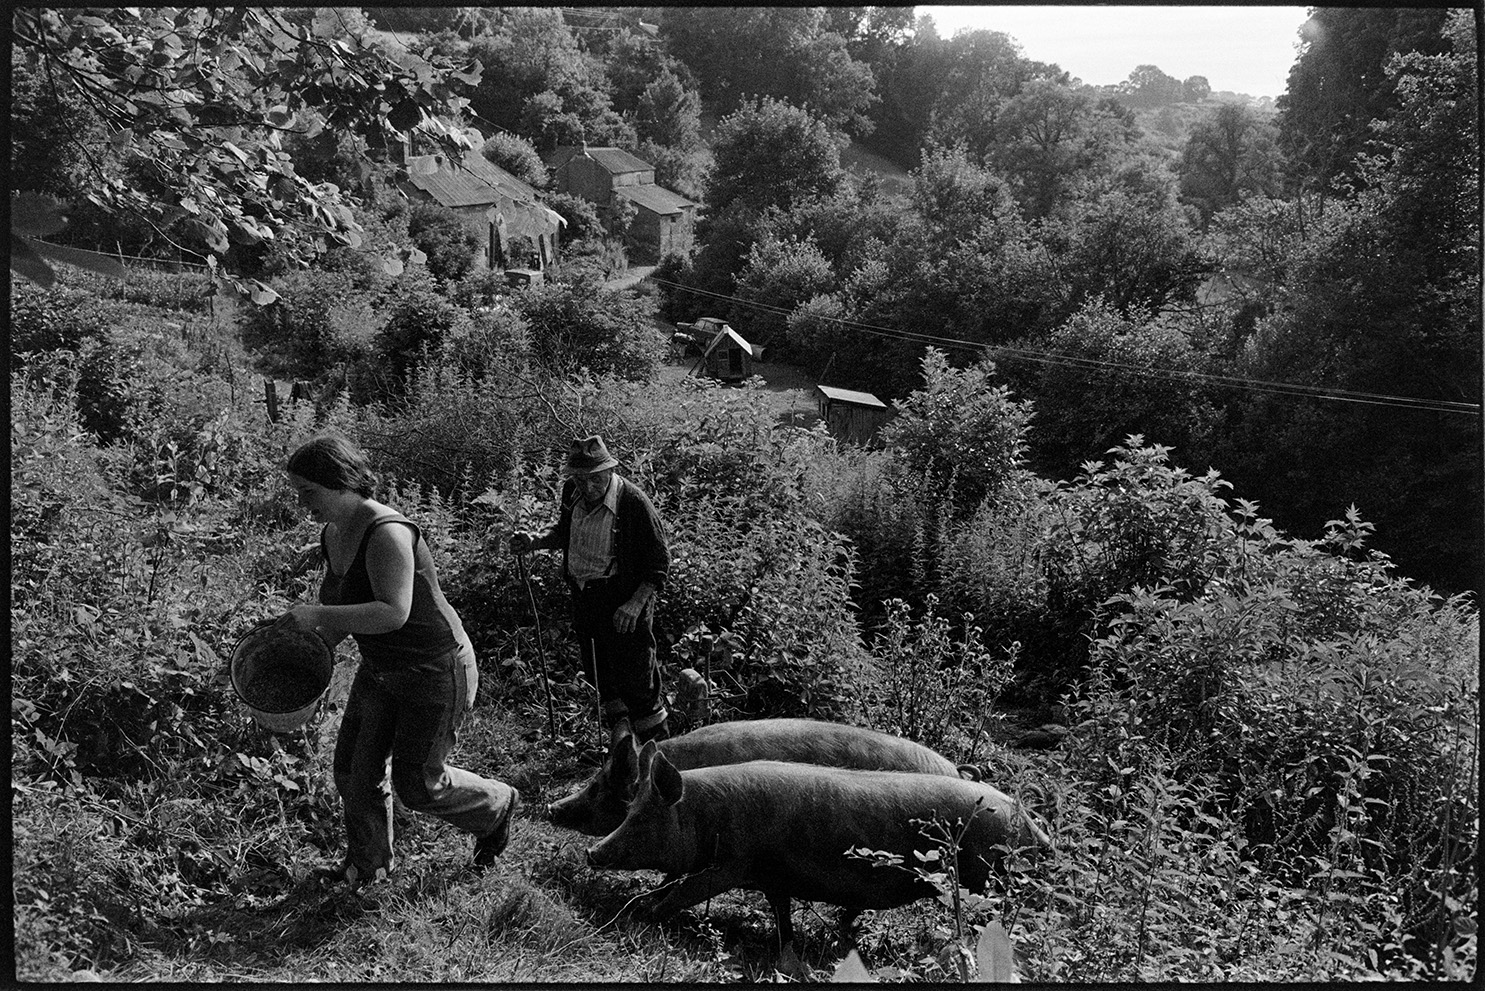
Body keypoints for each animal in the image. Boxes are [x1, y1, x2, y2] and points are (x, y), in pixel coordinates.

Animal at [585, 742, 1051, 944]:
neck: (706, 816)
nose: (591, 853)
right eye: (629, 810)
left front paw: (645, 915)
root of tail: (1031, 825)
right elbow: (781, 911)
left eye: (642, 817)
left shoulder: (731, 865)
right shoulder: (773, 875)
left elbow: (684, 891)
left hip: (982, 880)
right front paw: (786, 944)